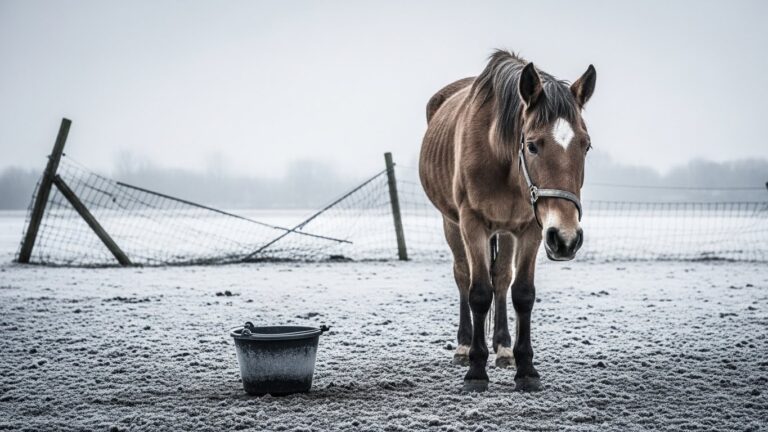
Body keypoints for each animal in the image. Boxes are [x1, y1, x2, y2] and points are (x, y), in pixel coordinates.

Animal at [419, 50, 596, 392]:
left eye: (586, 145)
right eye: (532, 145)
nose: (566, 238)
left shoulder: (531, 228)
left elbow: (522, 293)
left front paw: (525, 368)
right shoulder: (472, 224)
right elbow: (478, 293)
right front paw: (476, 371)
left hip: (507, 231)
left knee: (501, 279)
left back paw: (502, 348)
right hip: (452, 224)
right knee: (463, 275)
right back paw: (464, 347)